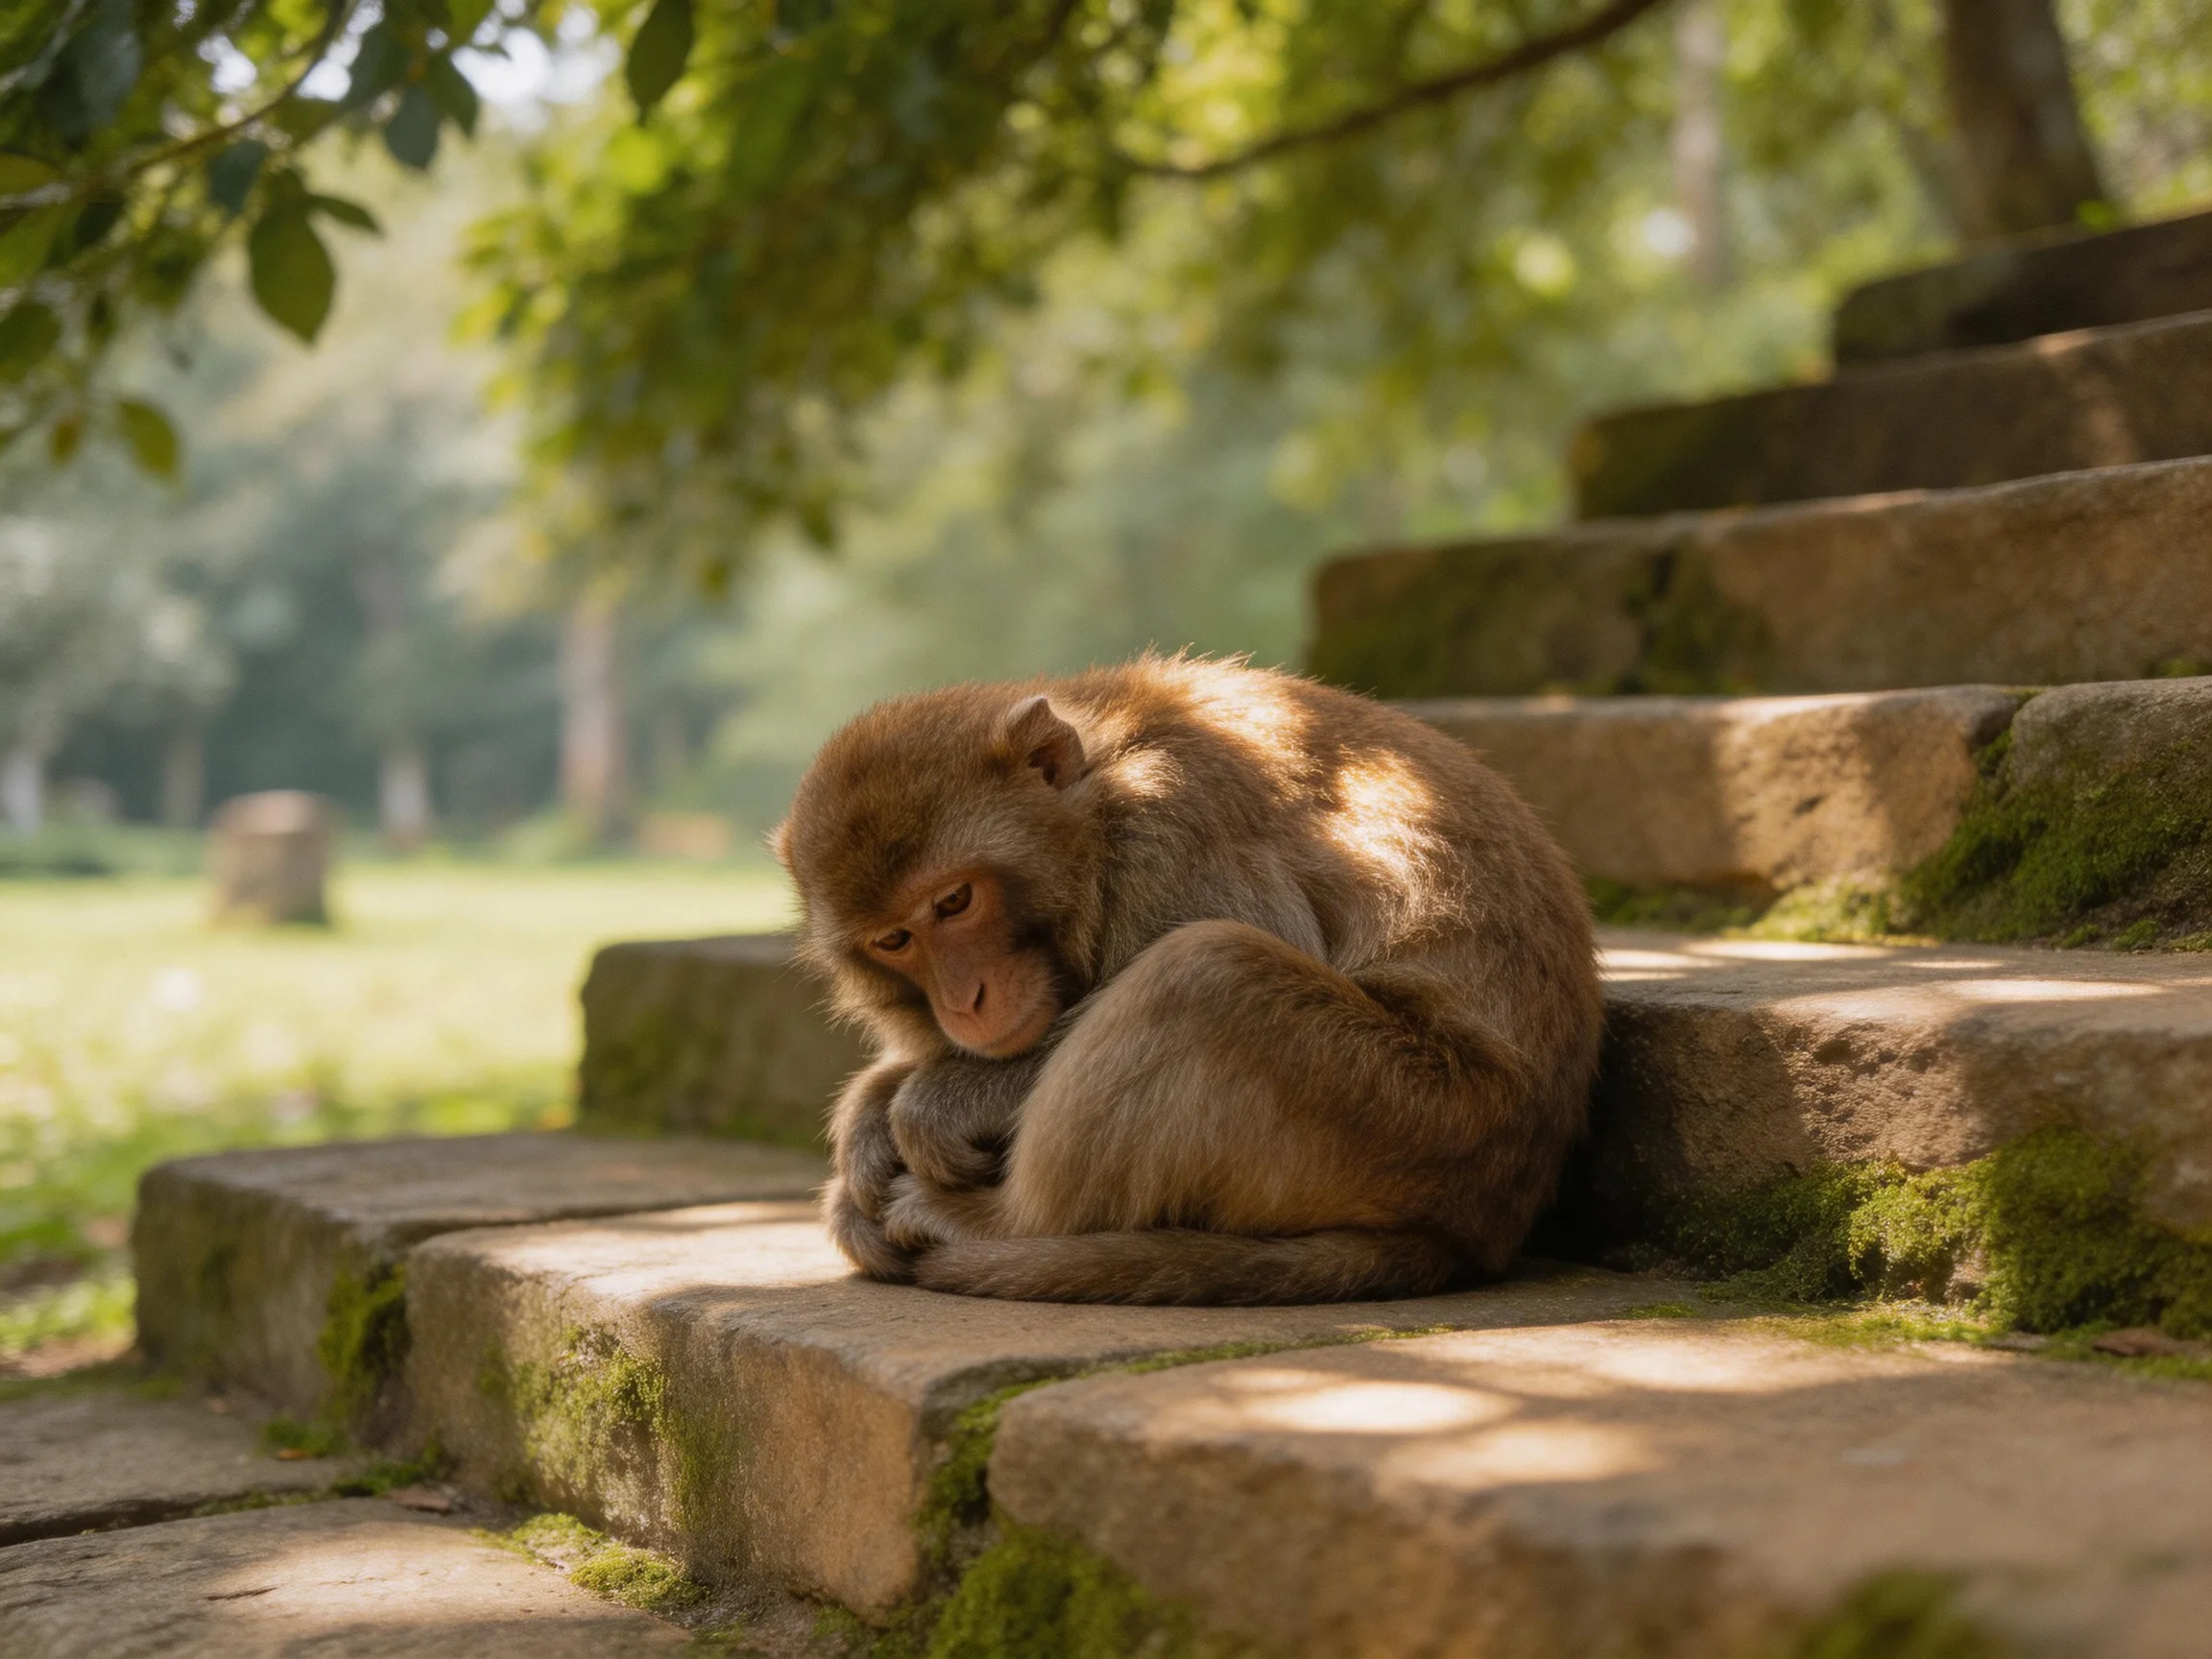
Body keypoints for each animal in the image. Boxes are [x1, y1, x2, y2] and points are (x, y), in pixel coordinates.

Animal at [771, 655, 1603, 1305]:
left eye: (954, 901)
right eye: (894, 940)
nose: (963, 1001)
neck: (1103, 799)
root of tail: (1480, 1226)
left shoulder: (1177, 827)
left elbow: (1250, 933)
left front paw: (934, 1102)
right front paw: (869, 1120)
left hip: (1416, 1117)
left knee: (1207, 973)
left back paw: (996, 1225)